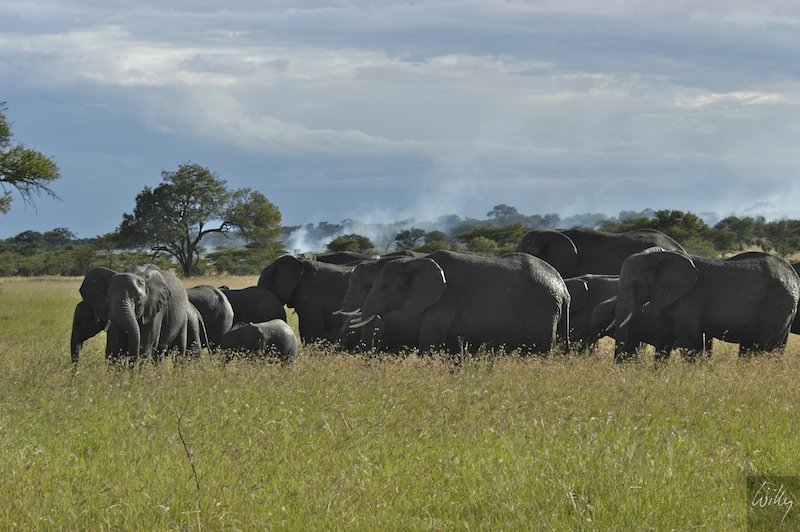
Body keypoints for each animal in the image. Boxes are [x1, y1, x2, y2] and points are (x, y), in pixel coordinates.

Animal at [348, 250, 570, 356]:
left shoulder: (444, 301)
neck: (415, 262)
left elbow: (429, 343)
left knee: (540, 350)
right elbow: (454, 345)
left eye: (386, 288)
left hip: (544, 309)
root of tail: (563, 288)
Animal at [614, 248, 800, 361]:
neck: (660, 257)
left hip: (776, 304)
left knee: (764, 346)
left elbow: (688, 341)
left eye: (635, 284)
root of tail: (794, 277)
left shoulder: (689, 298)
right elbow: (664, 339)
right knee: (768, 347)